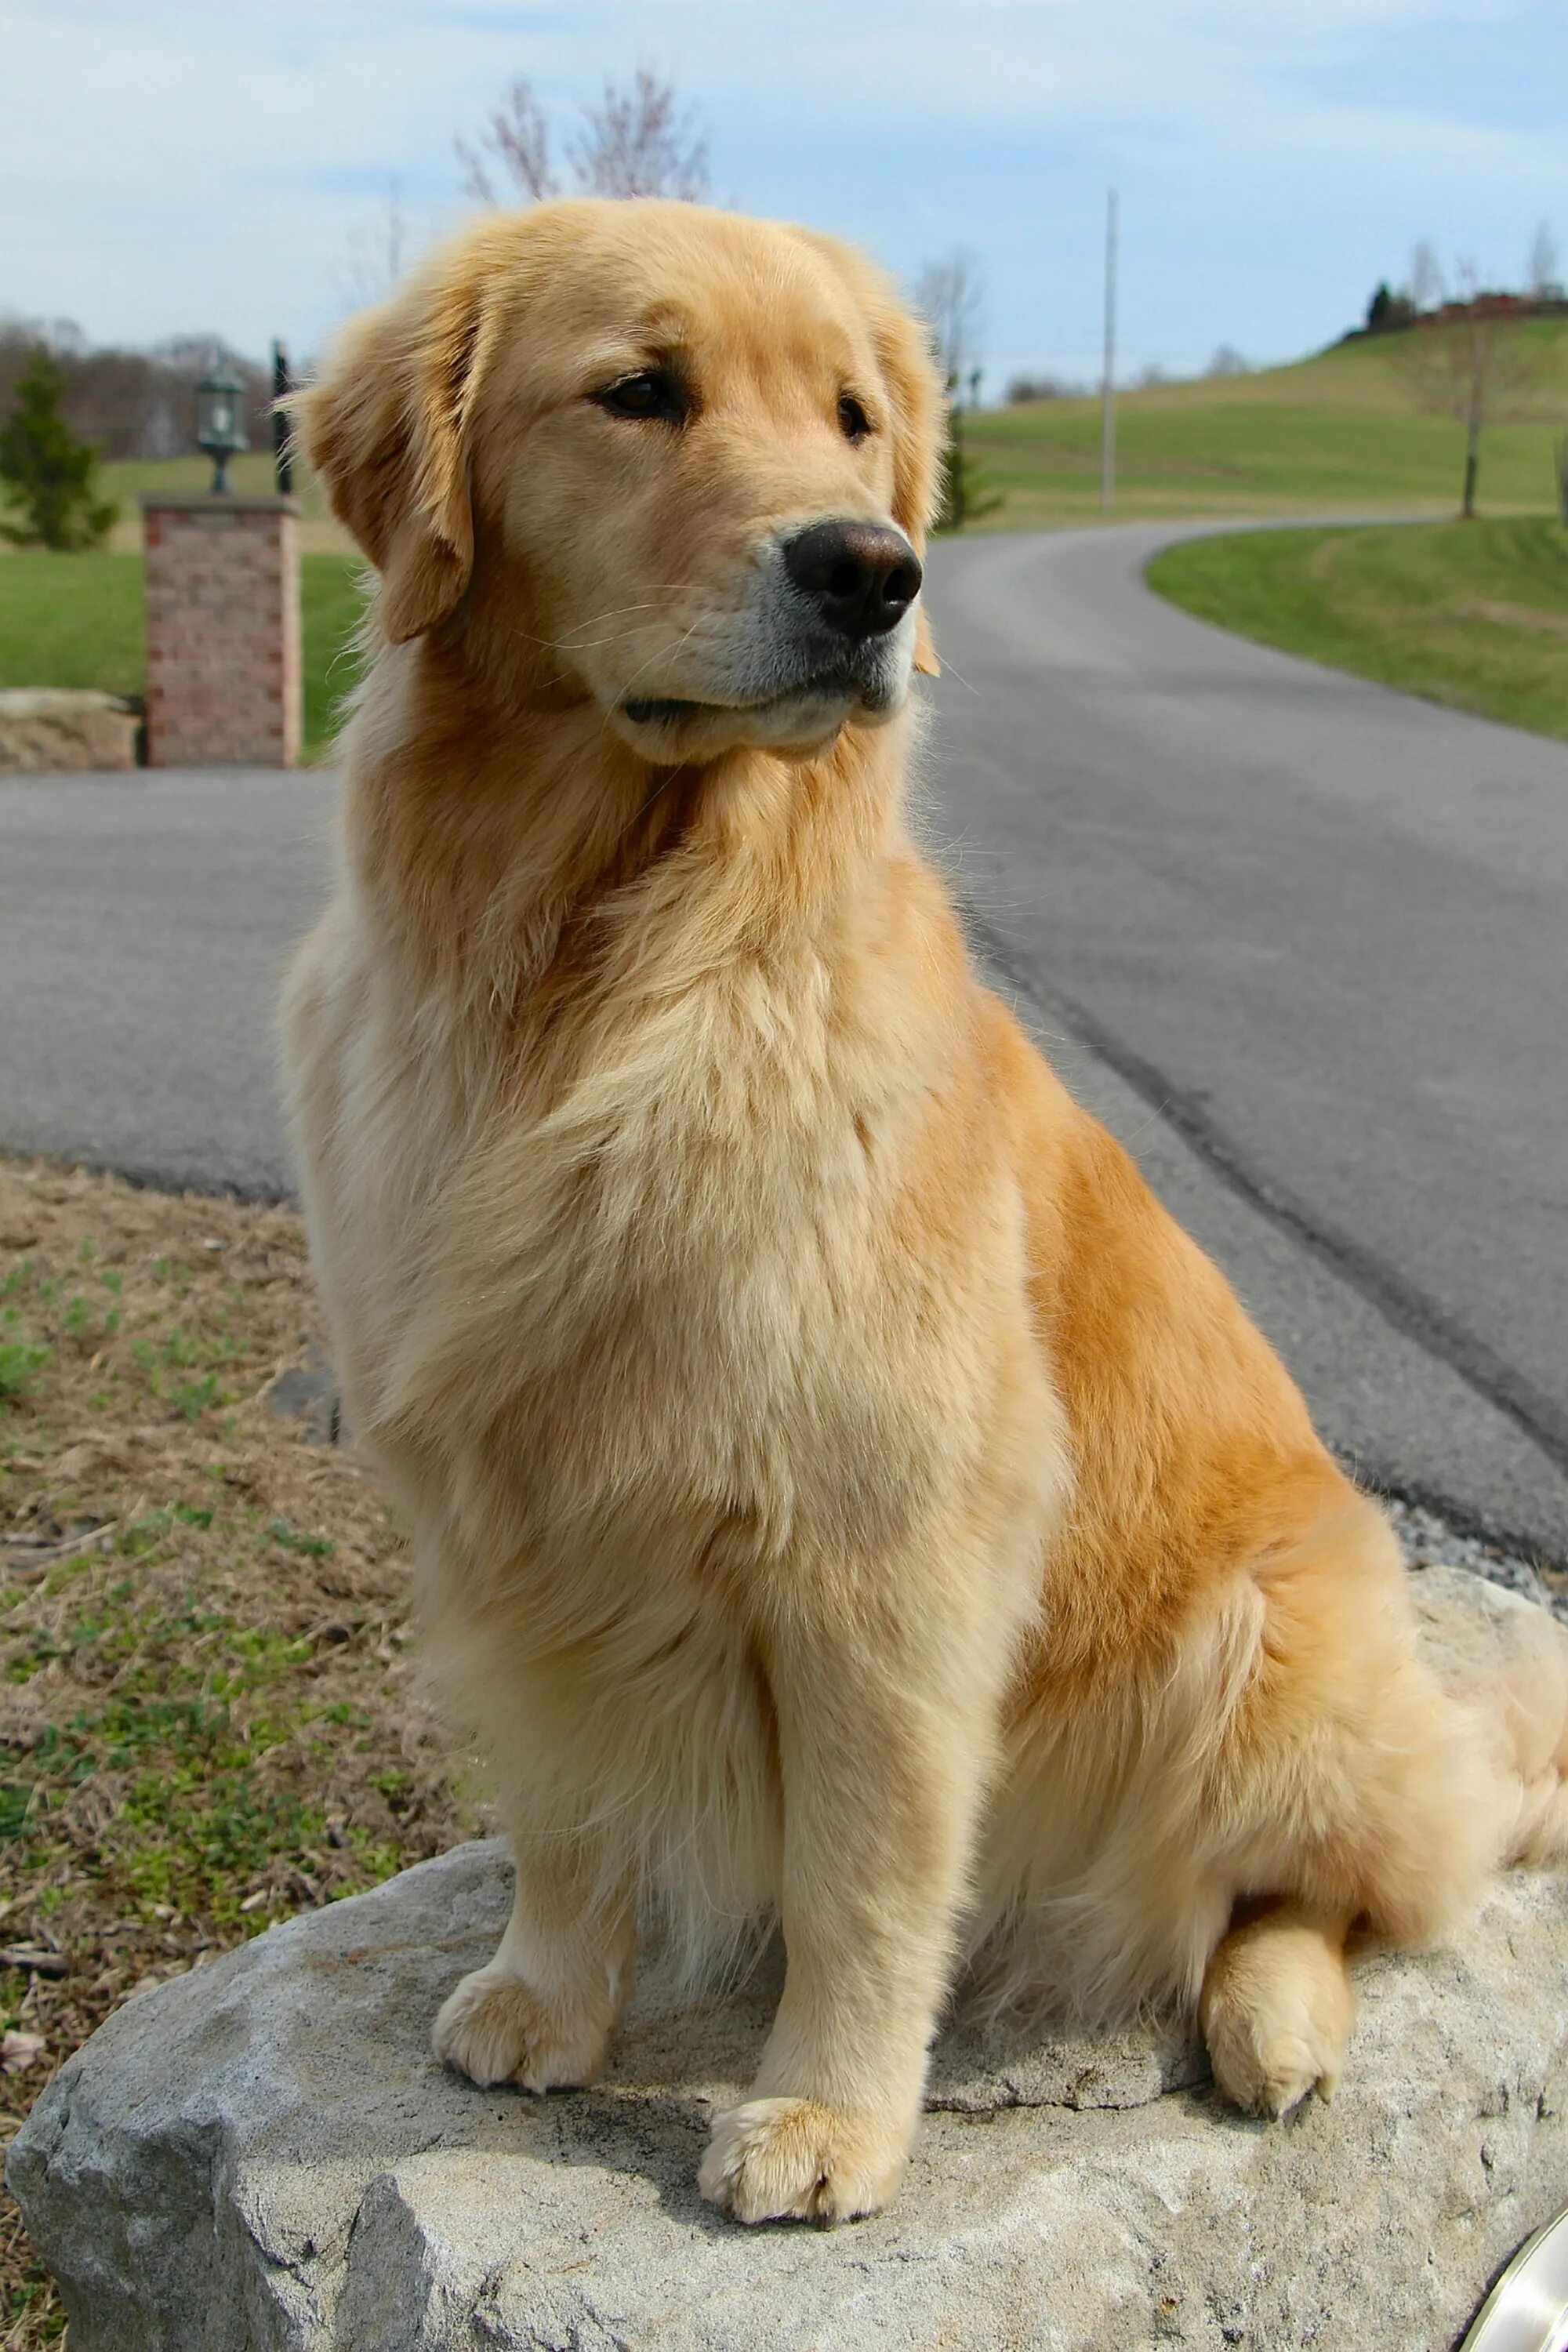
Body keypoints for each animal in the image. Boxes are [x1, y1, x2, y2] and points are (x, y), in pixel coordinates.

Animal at [281, 202, 1568, 2220]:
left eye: (854, 417)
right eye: (636, 392)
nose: (872, 572)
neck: (591, 970)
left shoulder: (886, 1558)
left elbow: (863, 1880)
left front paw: (825, 2114)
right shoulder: (508, 1516)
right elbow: (564, 1810)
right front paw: (549, 1996)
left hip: (1256, 1658)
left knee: (1338, 1889)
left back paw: (1272, 2016)